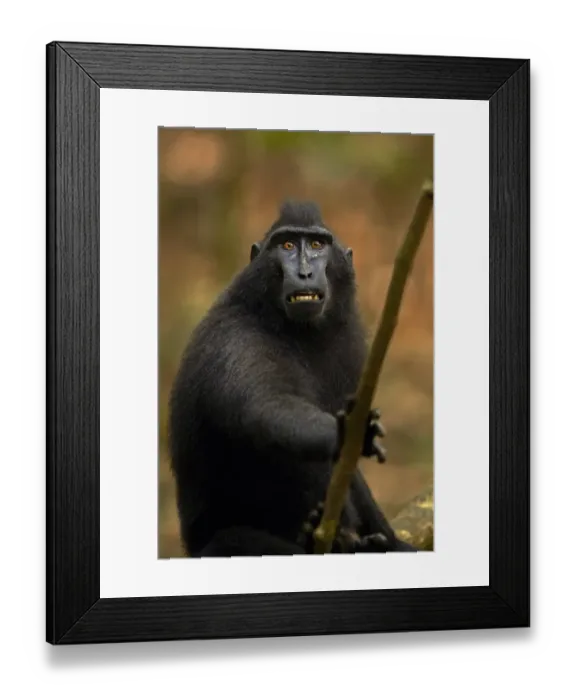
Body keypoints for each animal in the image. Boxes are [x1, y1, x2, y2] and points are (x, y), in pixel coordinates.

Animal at [167, 200, 418, 557]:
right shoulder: (238, 343)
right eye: (286, 245)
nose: (304, 272)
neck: (297, 332)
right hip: (222, 546)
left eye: (316, 245)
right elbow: (266, 408)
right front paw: (345, 433)